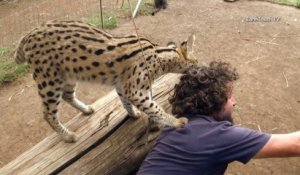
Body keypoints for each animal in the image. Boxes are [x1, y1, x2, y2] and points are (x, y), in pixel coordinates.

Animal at [14, 20, 197, 142]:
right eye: (195, 62)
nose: (199, 67)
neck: (160, 56)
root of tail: (28, 34)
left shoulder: (122, 85)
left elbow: (126, 102)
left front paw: (133, 114)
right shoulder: (135, 90)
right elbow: (155, 108)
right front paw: (176, 122)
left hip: (69, 75)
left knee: (67, 96)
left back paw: (86, 109)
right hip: (50, 80)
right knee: (47, 113)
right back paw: (68, 136)